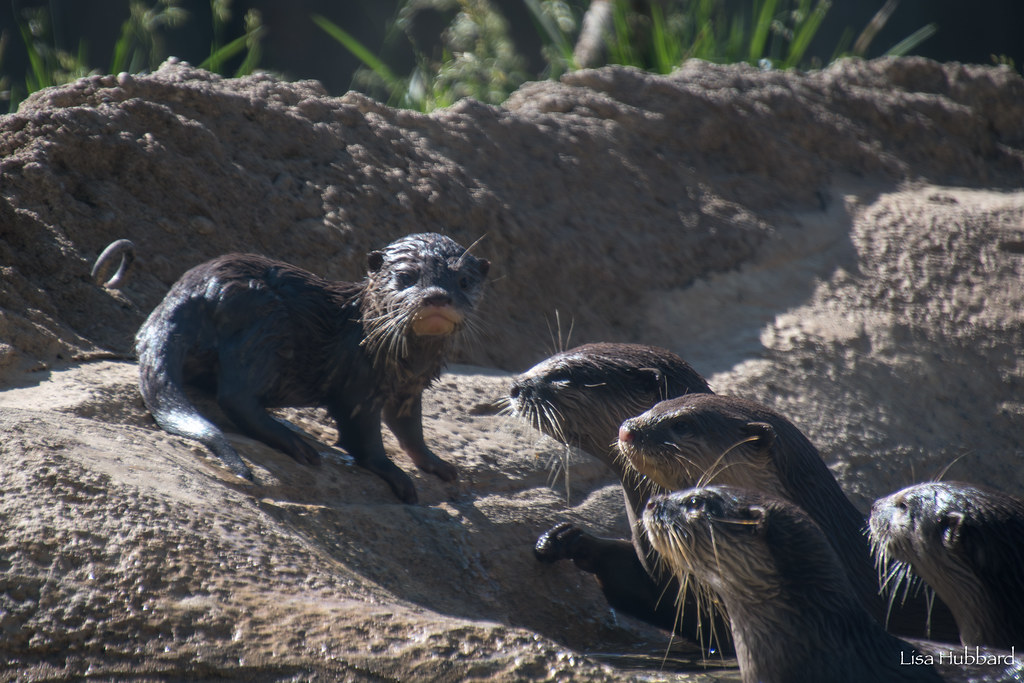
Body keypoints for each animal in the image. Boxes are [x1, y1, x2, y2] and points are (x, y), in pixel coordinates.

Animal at [135, 233, 489, 503]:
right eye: (406, 278)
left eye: (464, 281)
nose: (437, 296)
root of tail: (191, 287)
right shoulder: (358, 382)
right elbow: (364, 439)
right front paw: (396, 475)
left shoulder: (409, 388)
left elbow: (410, 431)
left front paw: (437, 464)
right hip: (266, 321)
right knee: (235, 396)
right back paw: (296, 444)